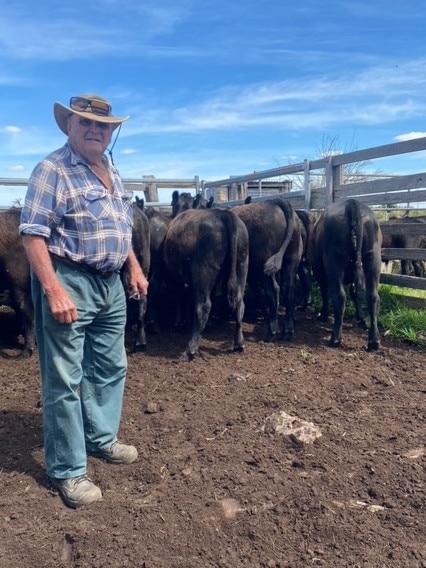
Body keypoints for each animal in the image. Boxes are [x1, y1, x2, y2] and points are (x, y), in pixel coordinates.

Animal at [163, 207, 250, 360]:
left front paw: (178, 323)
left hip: (203, 270)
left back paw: (190, 350)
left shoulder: (174, 275)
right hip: (241, 266)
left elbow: (179, 297)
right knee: (240, 304)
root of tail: (224, 214)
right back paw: (239, 344)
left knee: (203, 306)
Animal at [233, 199, 302, 342]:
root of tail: (275, 201)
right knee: (288, 288)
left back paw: (272, 331)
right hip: (291, 260)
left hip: (263, 266)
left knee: (273, 290)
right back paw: (288, 329)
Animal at [306, 200, 382, 350]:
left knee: (340, 296)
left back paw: (335, 338)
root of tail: (352, 202)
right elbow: (355, 293)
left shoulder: (319, 271)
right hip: (372, 258)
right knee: (372, 296)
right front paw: (361, 319)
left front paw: (323, 315)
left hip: (334, 262)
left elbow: (325, 292)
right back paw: (373, 340)